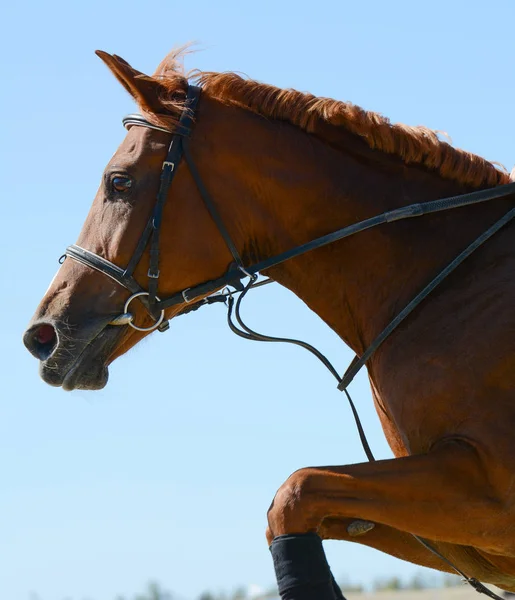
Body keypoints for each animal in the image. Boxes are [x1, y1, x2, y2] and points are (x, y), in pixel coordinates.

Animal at [24, 50, 515, 592]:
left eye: (119, 181)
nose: (42, 336)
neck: (445, 277)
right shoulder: (459, 534)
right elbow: (293, 506)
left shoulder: (488, 494)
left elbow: (293, 495)